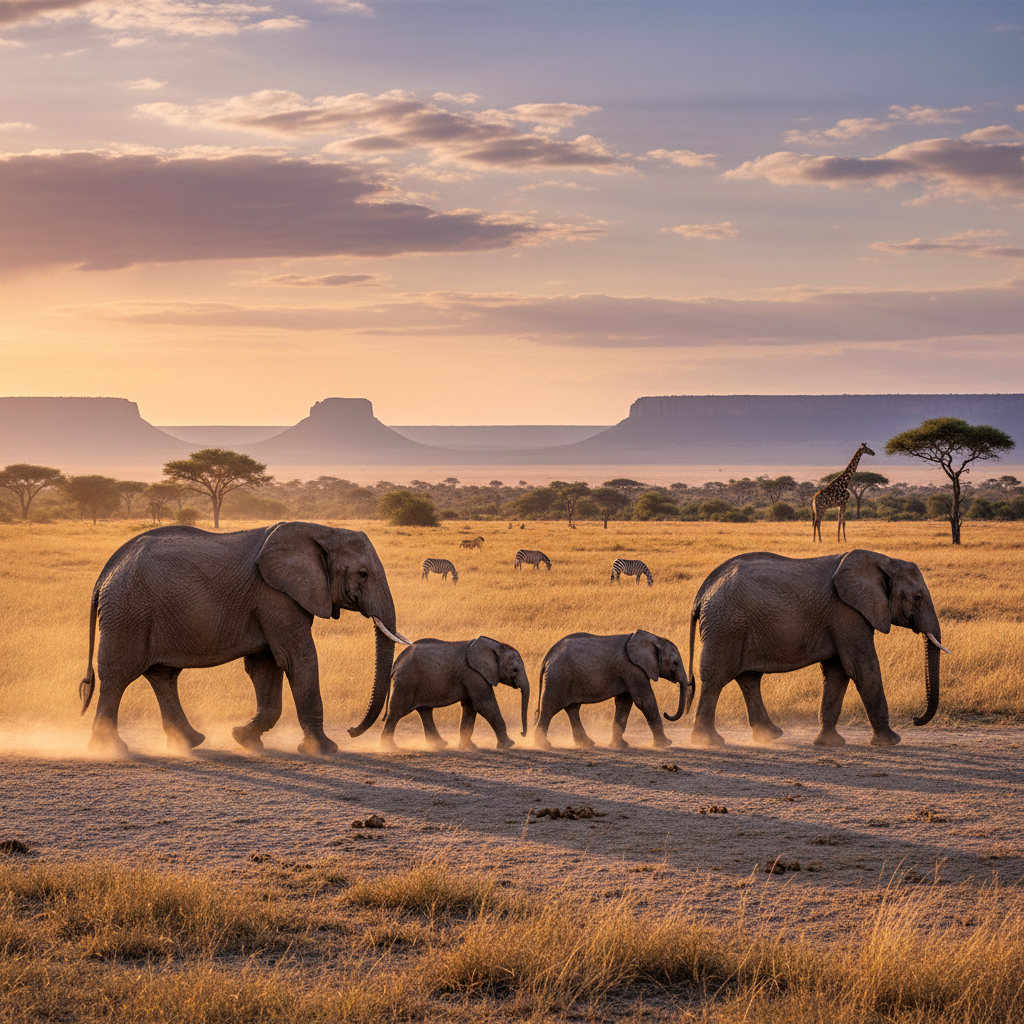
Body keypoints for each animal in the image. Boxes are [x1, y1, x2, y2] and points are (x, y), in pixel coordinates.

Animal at [79, 522, 409, 757]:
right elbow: (298, 659)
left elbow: (266, 666)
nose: (352, 730)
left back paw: (189, 742)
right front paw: (324, 750)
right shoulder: (276, 596)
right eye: (363, 574)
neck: (323, 531)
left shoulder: (271, 602)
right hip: (127, 613)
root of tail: (106, 572)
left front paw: (244, 739)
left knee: (163, 676)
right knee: (118, 676)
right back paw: (110, 750)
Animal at [364, 636, 530, 750]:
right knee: (397, 711)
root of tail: (397, 662)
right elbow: (484, 705)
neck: (495, 645)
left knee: (425, 711)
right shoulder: (474, 674)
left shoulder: (471, 676)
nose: (522, 733)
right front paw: (509, 745)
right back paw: (389, 747)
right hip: (406, 681)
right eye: (515, 670)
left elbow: (470, 707)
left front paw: (468, 748)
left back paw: (440, 745)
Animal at [533, 631, 691, 750]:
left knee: (573, 708)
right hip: (558, 677)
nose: (666, 713)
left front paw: (620, 745)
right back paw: (544, 746)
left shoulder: (629, 672)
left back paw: (587, 744)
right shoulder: (632, 668)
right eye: (675, 663)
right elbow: (645, 701)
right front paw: (666, 744)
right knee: (550, 707)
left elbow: (624, 703)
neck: (652, 639)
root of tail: (547, 657)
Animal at [679, 549, 947, 749]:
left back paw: (770, 735)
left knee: (749, 678)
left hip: (733, 626)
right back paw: (709, 742)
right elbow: (862, 667)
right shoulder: (847, 612)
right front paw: (891, 742)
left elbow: (838, 672)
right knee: (717, 677)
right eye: (918, 598)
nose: (914, 719)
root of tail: (702, 592)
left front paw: (829, 743)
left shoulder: (842, 618)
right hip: (726, 626)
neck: (884, 561)